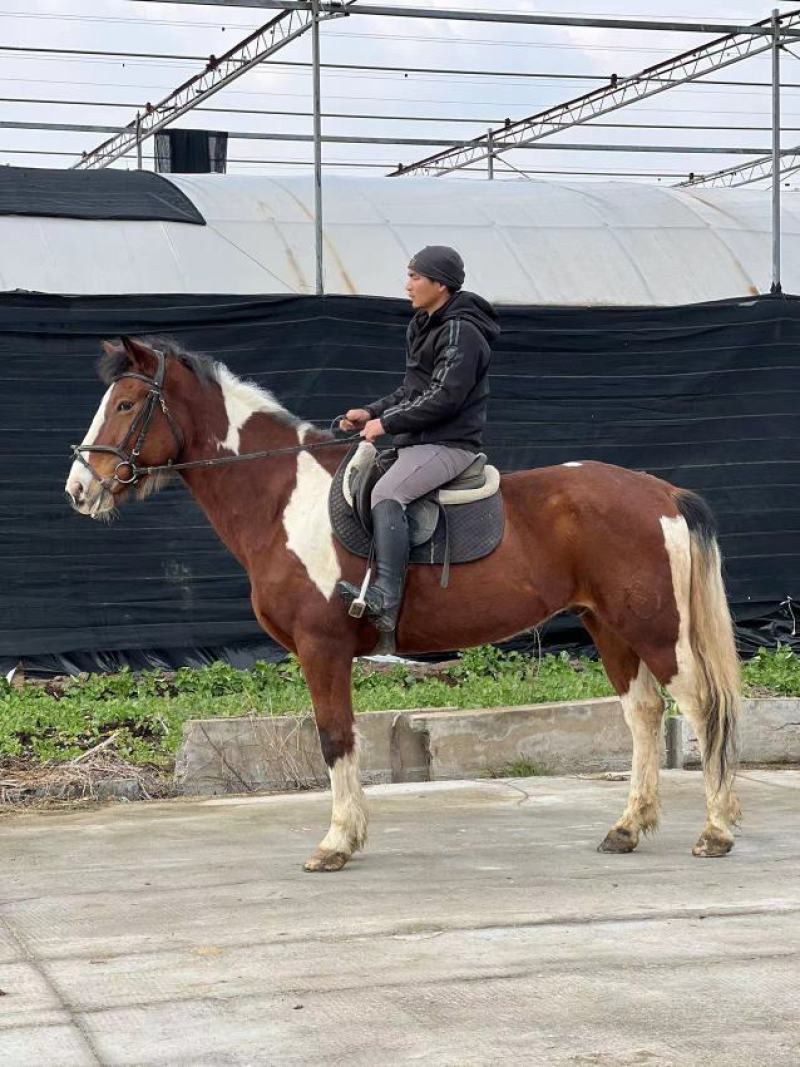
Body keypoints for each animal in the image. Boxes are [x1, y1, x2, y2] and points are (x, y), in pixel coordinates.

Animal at [64, 336, 741, 872]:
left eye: (126, 405)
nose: (78, 489)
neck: (283, 496)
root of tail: (662, 493)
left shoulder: (323, 648)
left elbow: (335, 737)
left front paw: (336, 843)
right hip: (609, 627)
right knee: (644, 714)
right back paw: (627, 828)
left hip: (654, 629)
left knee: (702, 706)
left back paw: (716, 831)